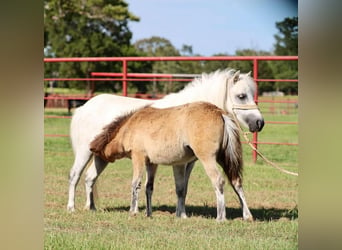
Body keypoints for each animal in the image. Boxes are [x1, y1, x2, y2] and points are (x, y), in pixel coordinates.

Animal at [67, 68, 264, 217]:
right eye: (241, 96)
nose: (259, 122)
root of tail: (84, 107)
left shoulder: (188, 162)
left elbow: (182, 188)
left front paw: (181, 213)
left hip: (101, 157)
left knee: (90, 177)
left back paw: (91, 207)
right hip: (85, 152)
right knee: (75, 175)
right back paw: (71, 207)